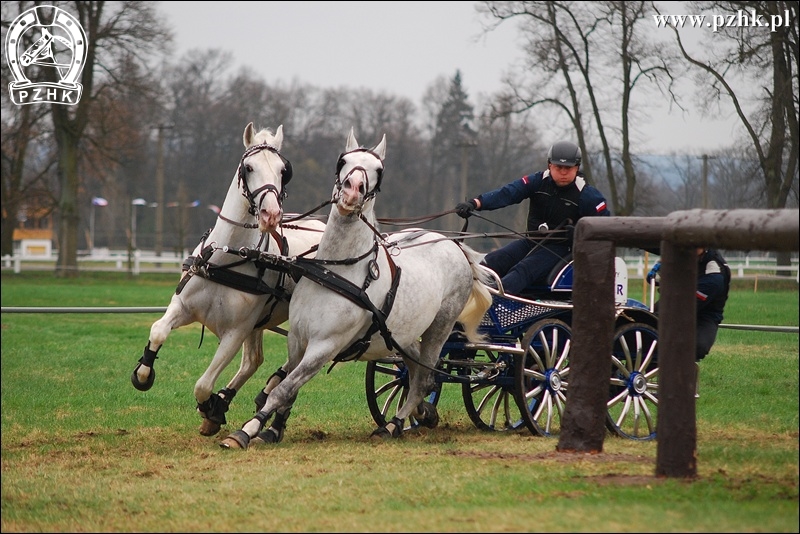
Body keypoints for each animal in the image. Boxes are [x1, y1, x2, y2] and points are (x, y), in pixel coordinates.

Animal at [130, 123, 324, 438]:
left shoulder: (236, 331)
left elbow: (203, 384)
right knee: (254, 362)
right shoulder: (183, 306)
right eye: (248, 167)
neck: (228, 257)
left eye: (283, 170)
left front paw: (210, 407)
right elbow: (158, 330)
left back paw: (268, 411)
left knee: (294, 366)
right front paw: (143, 374)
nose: (271, 214)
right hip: (260, 323)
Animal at [220, 127, 494, 450]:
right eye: (343, 161)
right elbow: (284, 385)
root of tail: (455, 245)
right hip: (400, 335)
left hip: (439, 328)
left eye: (379, 170)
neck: (336, 269)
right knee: (417, 374)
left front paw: (246, 430)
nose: (352, 190)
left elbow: (283, 389)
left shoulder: (325, 346)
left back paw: (394, 424)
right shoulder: (298, 340)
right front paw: (272, 428)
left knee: (423, 379)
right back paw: (422, 413)